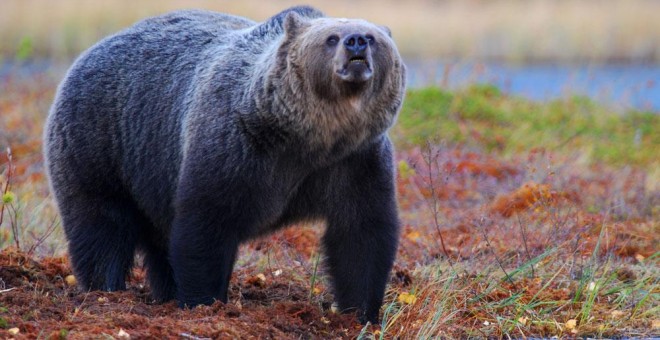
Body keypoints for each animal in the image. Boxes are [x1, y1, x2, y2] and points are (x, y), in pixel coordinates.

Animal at [42, 5, 408, 324]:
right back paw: (104, 289)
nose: (356, 41)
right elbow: (206, 224)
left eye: (373, 37)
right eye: (331, 38)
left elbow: (362, 233)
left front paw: (360, 312)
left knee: (156, 240)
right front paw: (204, 301)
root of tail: (91, 49)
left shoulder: (355, 161)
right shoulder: (236, 149)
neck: (310, 139)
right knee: (101, 224)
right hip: (101, 142)